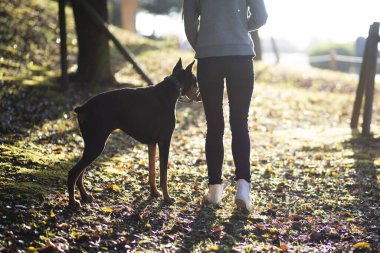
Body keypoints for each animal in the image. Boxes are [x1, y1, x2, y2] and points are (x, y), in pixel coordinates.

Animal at [68, 59, 199, 210]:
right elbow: (163, 174)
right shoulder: (165, 141)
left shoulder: (152, 143)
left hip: (91, 143)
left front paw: (154, 192)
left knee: (80, 172)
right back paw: (72, 203)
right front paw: (167, 198)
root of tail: (82, 108)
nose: (200, 97)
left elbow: (152, 171)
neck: (171, 89)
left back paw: (85, 196)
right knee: (73, 173)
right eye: (196, 82)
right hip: (96, 144)